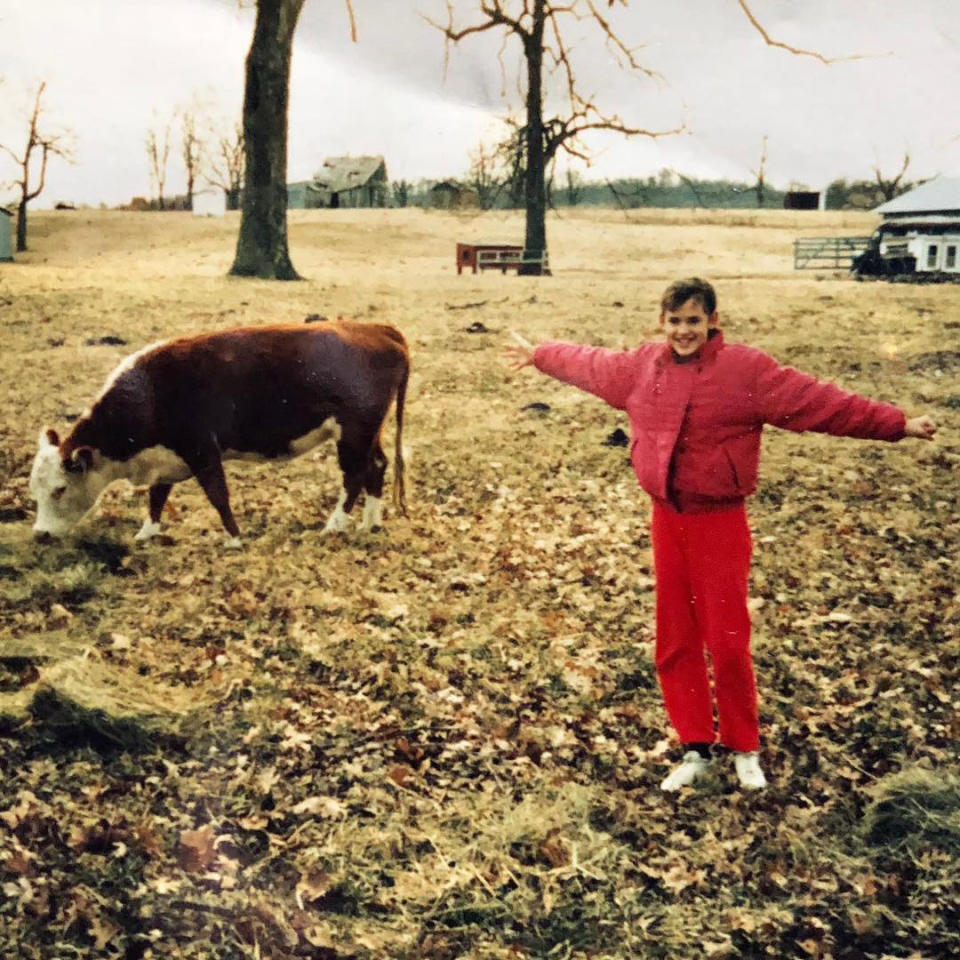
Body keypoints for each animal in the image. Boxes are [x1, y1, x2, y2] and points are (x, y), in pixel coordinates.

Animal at [28, 322, 410, 544]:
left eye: (60, 489)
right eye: (35, 490)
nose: (40, 534)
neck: (148, 392)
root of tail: (377, 328)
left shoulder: (201, 450)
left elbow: (217, 495)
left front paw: (234, 538)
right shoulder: (166, 458)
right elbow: (157, 497)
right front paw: (146, 533)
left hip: (354, 433)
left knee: (354, 476)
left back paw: (334, 524)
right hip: (369, 432)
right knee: (377, 466)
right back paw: (370, 523)